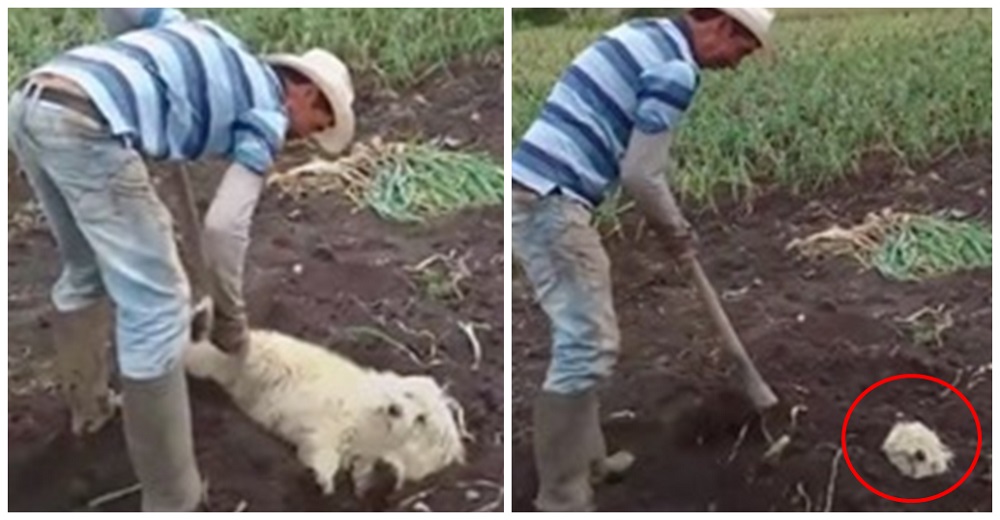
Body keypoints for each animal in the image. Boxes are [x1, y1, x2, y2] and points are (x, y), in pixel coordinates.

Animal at [184, 330, 464, 496]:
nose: (394, 409)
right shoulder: (339, 423)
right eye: (408, 395)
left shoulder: (362, 450)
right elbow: (326, 449)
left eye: (422, 419)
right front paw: (321, 478)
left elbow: (364, 471)